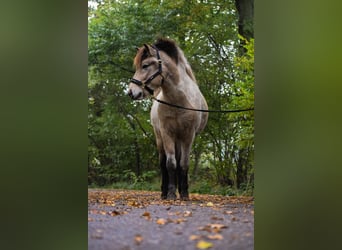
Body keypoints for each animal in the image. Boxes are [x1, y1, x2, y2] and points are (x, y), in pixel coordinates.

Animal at [128, 37, 208, 201]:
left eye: (145, 65)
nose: (131, 92)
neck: (179, 101)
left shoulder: (188, 136)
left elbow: (183, 164)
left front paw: (184, 193)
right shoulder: (167, 134)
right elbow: (170, 164)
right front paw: (171, 193)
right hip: (160, 139)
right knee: (163, 164)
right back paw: (164, 192)